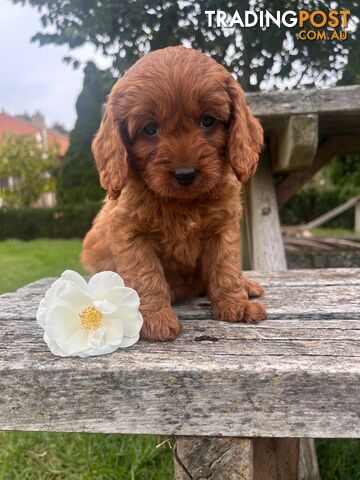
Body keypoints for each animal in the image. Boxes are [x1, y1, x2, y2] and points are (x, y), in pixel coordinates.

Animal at [82, 46, 268, 342]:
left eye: (208, 121)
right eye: (149, 129)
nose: (185, 174)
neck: (183, 203)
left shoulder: (223, 228)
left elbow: (225, 268)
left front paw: (236, 306)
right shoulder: (131, 233)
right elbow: (146, 276)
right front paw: (155, 319)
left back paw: (246, 285)